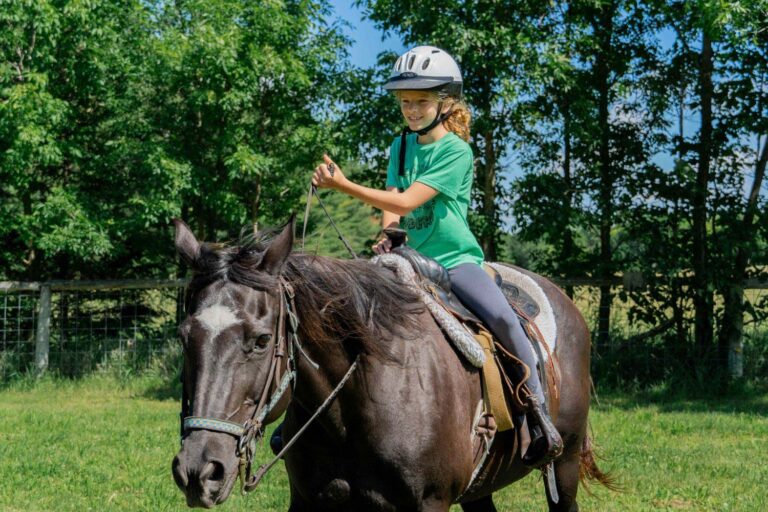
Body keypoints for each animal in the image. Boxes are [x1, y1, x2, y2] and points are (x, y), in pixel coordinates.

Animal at [171, 217, 612, 511]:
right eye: (183, 336)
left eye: (262, 341)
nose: (200, 470)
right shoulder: (310, 501)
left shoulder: (428, 503)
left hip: (565, 464)